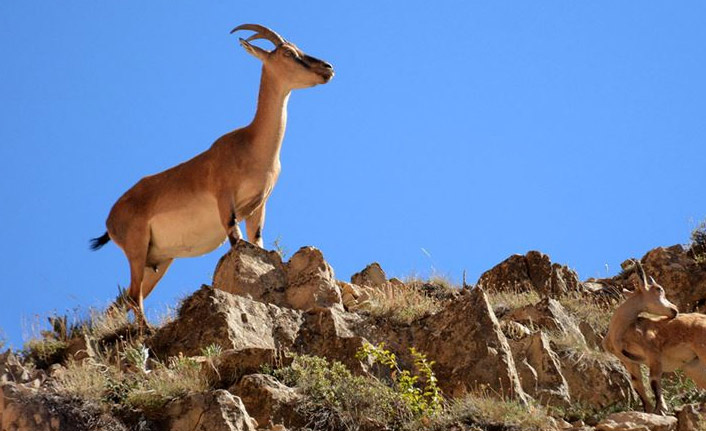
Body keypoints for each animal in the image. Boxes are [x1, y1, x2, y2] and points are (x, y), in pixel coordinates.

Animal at [90, 24, 332, 324]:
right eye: (288, 52)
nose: (327, 68)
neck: (252, 146)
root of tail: (110, 220)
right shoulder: (224, 199)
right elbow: (236, 239)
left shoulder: (258, 206)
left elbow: (256, 241)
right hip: (136, 249)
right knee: (134, 297)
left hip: (157, 260)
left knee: (123, 301)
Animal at [600, 262, 704, 416]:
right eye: (658, 289)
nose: (674, 310)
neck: (619, 332)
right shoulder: (629, 361)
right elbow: (637, 384)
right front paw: (649, 410)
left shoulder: (653, 353)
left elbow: (653, 381)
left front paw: (661, 409)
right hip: (694, 366)